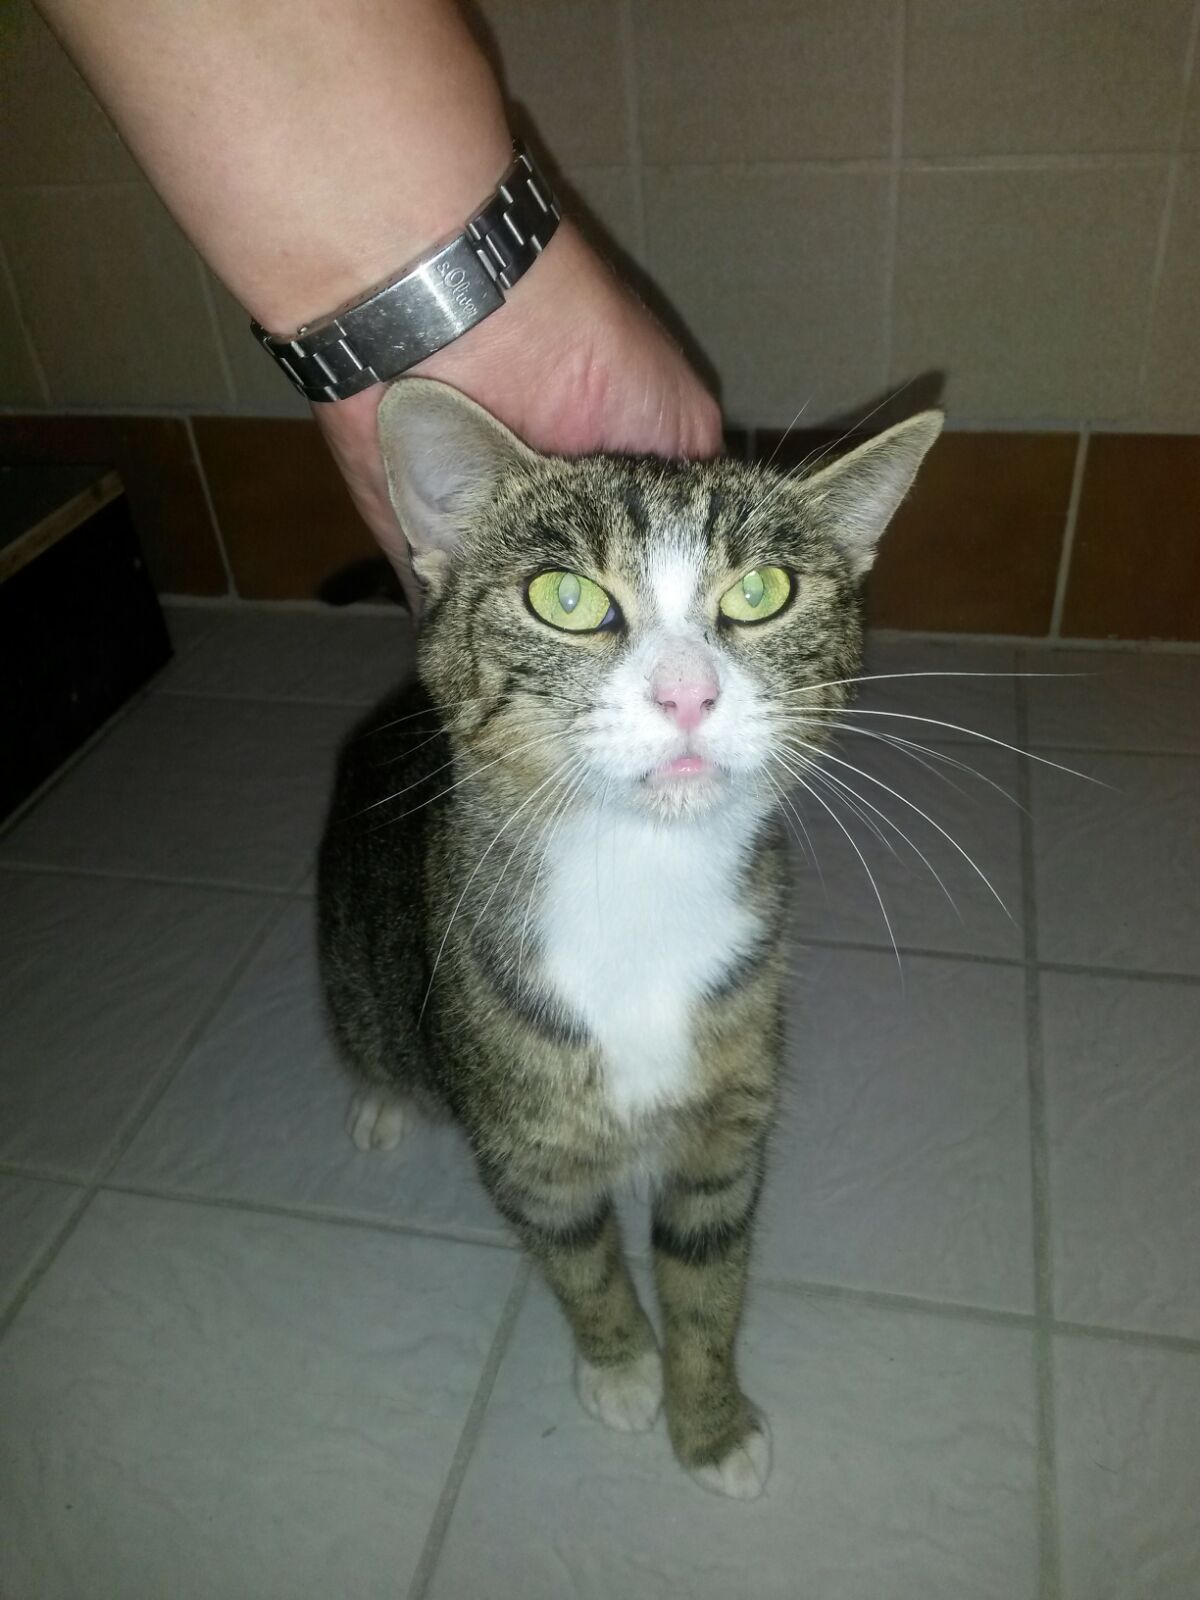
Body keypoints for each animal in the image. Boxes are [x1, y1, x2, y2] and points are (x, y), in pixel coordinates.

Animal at [317, 377, 941, 1499]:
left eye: (763, 591)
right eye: (565, 599)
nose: (687, 691)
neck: (643, 882)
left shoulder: (727, 1125)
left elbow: (708, 1278)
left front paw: (711, 1422)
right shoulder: (527, 1149)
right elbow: (581, 1263)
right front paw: (619, 1366)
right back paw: (384, 1102)